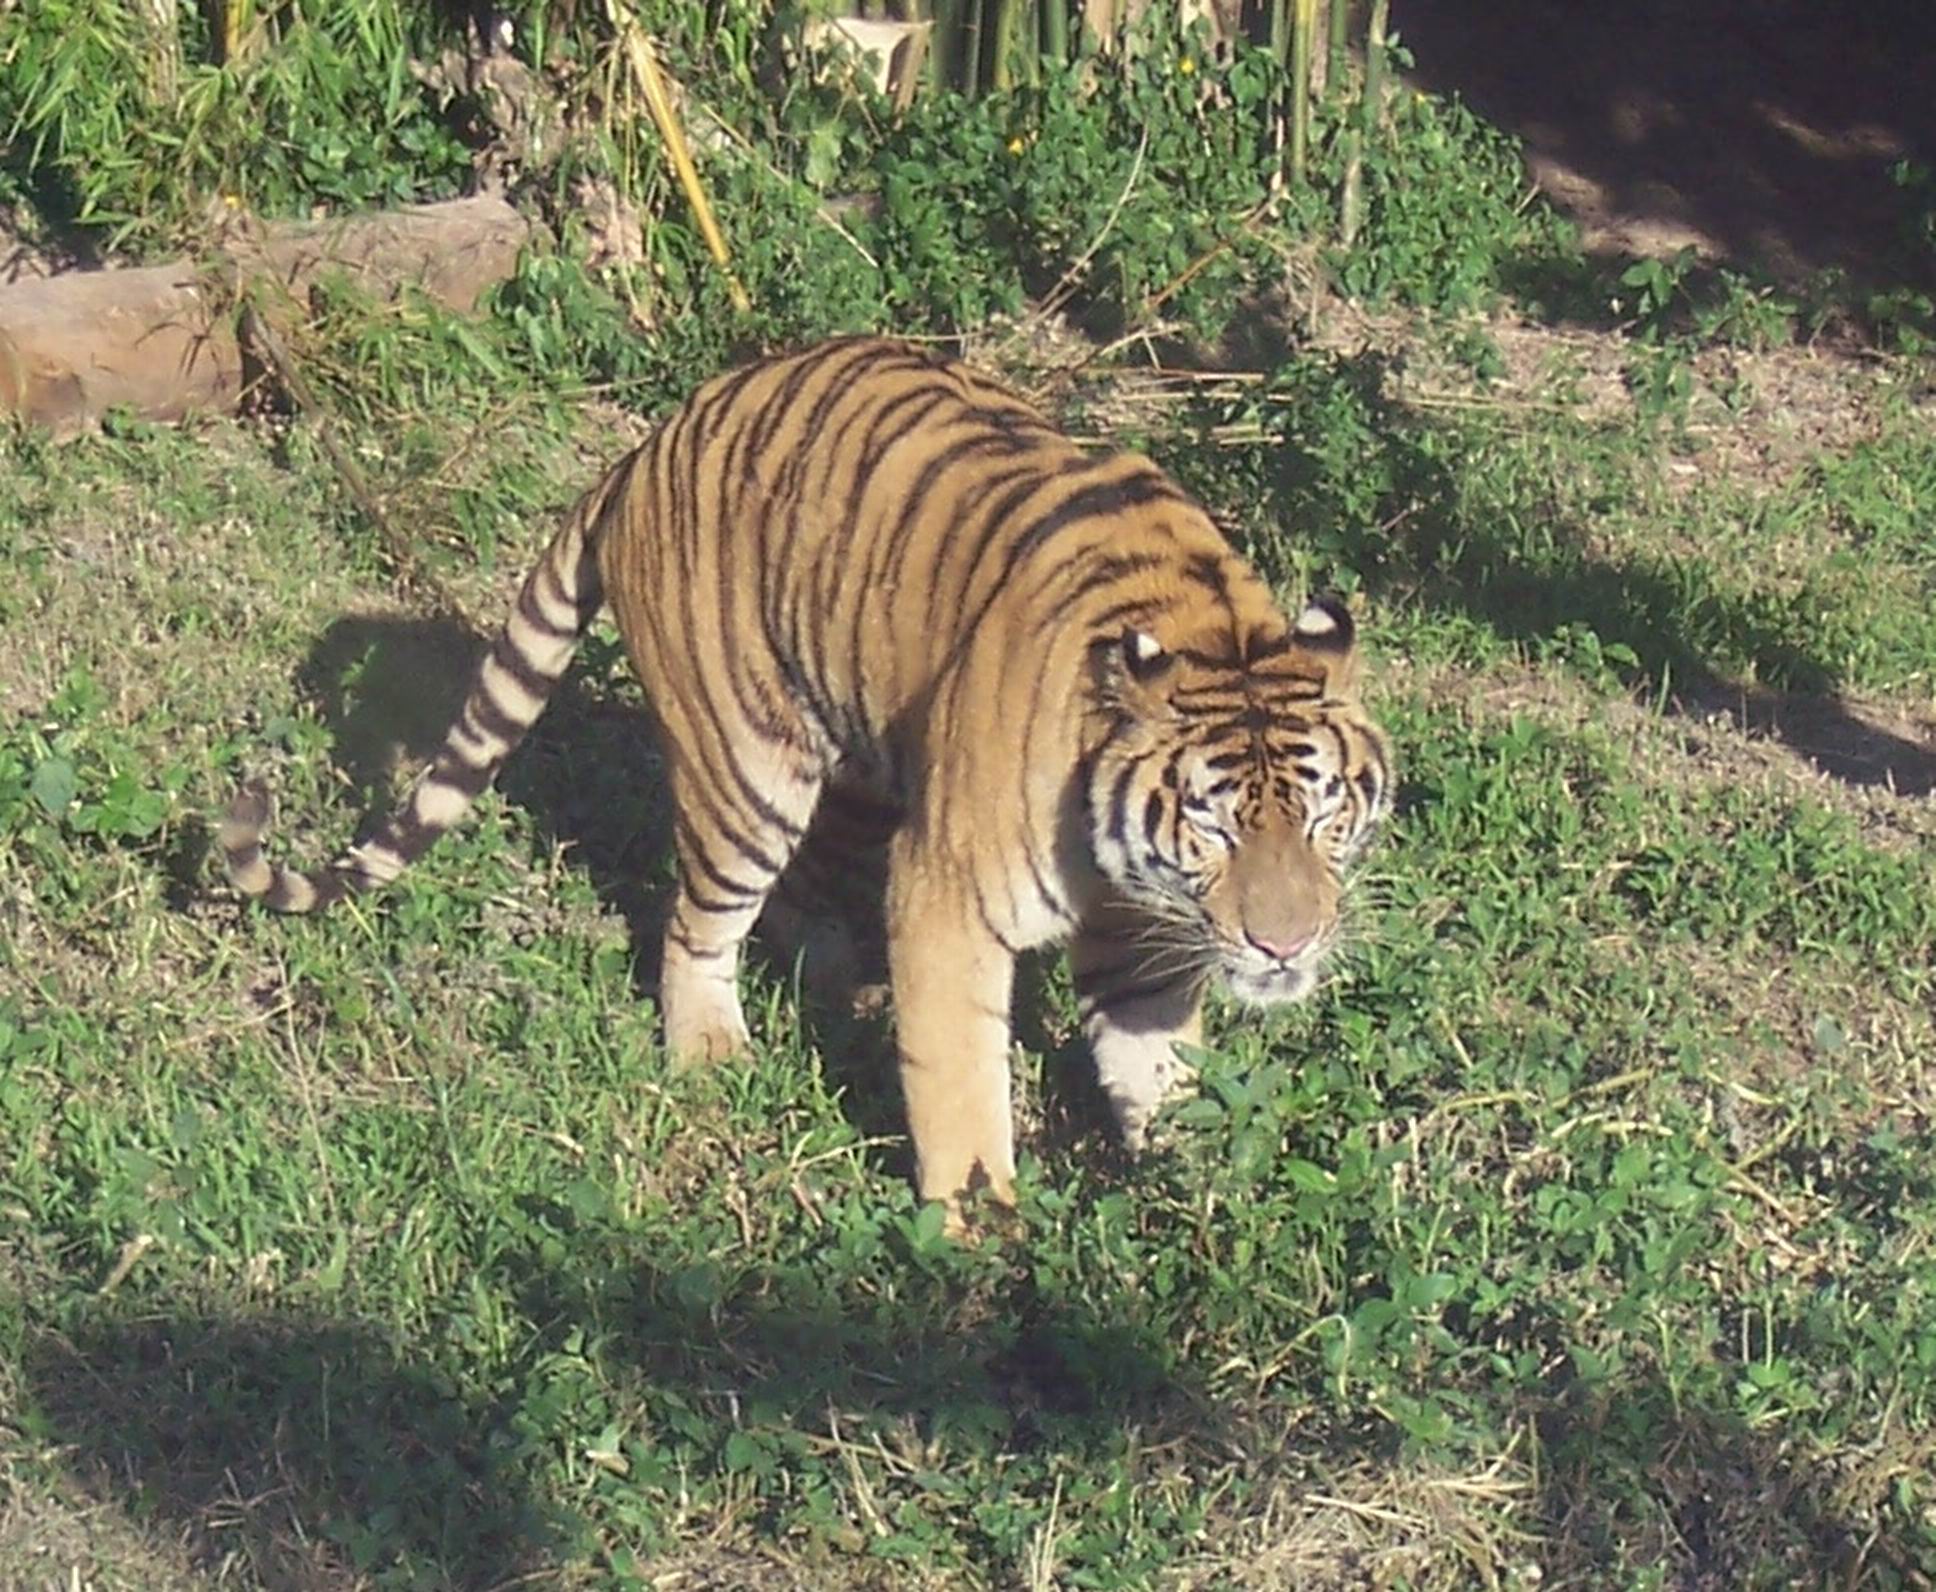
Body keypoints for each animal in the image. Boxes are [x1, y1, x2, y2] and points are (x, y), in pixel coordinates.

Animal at [226, 333, 1393, 1231]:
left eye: (1324, 813)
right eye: (1214, 824)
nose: (1284, 945)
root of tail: (649, 442)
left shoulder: (1142, 936)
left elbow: (1160, 1069)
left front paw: (1205, 1187)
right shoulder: (952, 892)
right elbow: (961, 1081)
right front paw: (977, 1234)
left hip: (862, 760)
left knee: (800, 901)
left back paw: (841, 981)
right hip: (749, 770)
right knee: (697, 925)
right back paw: (714, 1054)